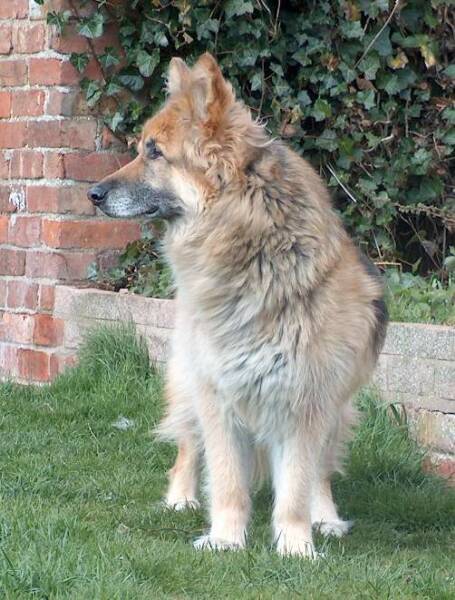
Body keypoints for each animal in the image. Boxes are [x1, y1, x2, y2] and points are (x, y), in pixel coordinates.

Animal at [87, 51, 386, 556]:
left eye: (154, 152)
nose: (92, 194)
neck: (254, 250)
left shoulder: (306, 400)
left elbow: (297, 484)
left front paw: (296, 546)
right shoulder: (218, 395)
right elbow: (227, 479)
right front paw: (226, 539)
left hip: (335, 403)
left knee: (321, 472)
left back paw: (326, 517)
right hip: (189, 384)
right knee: (187, 449)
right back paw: (182, 498)